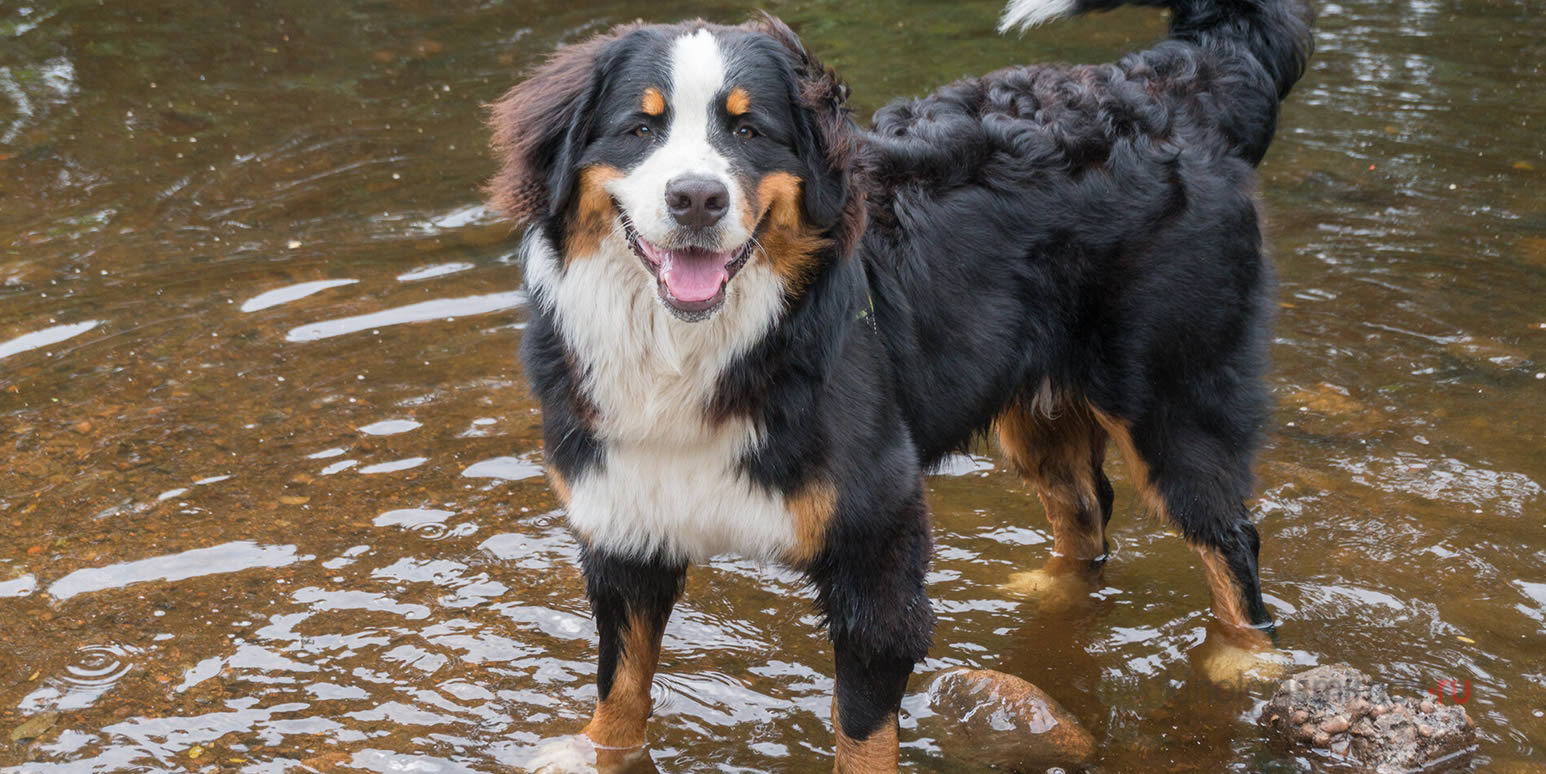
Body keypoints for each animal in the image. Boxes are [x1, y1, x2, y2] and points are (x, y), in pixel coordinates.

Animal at [488, 0, 1311, 766]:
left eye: (748, 133)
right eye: (639, 129)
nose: (696, 198)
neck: (702, 349)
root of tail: (1170, 86)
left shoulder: (875, 537)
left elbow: (862, 730)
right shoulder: (626, 522)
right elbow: (622, 683)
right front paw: (600, 751)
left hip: (1176, 403)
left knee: (1228, 539)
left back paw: (1246, 664)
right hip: (1035, 413)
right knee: (1085, 511)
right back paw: (1048, 589)